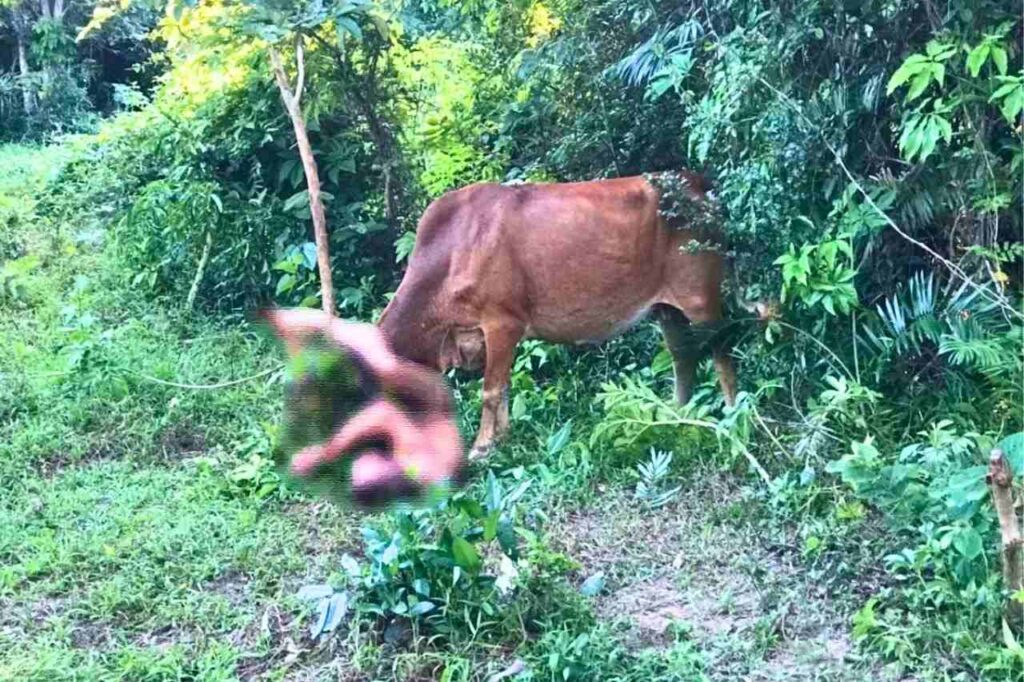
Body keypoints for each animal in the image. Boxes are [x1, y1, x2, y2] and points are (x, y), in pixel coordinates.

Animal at [378, 171, 743, 459]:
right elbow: (504, 387)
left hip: (701, 297)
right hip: (667, 308)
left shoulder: (502, 323)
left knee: (722, 352)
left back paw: (733, 414)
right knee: (683, 355)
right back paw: (676, 413)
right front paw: (503, 437)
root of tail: (698, 184)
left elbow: (491, 391)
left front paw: (482, 447)